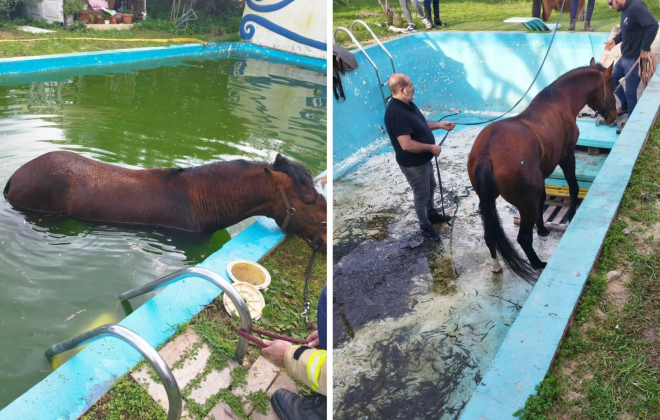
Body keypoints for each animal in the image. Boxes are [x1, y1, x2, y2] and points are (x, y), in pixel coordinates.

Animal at [467, 59, 616, 281]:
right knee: (523, 238)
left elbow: (544, 197)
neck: (560, 101)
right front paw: (570, 216)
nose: (614, 116)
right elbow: (573, 186)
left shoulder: (543, 175)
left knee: (490, 234)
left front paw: (543, 229)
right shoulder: (567, 156)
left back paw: (496, 264)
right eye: (612, 86)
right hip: (525, 202)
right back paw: (538, 263)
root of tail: (487, 151)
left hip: (489, 200)